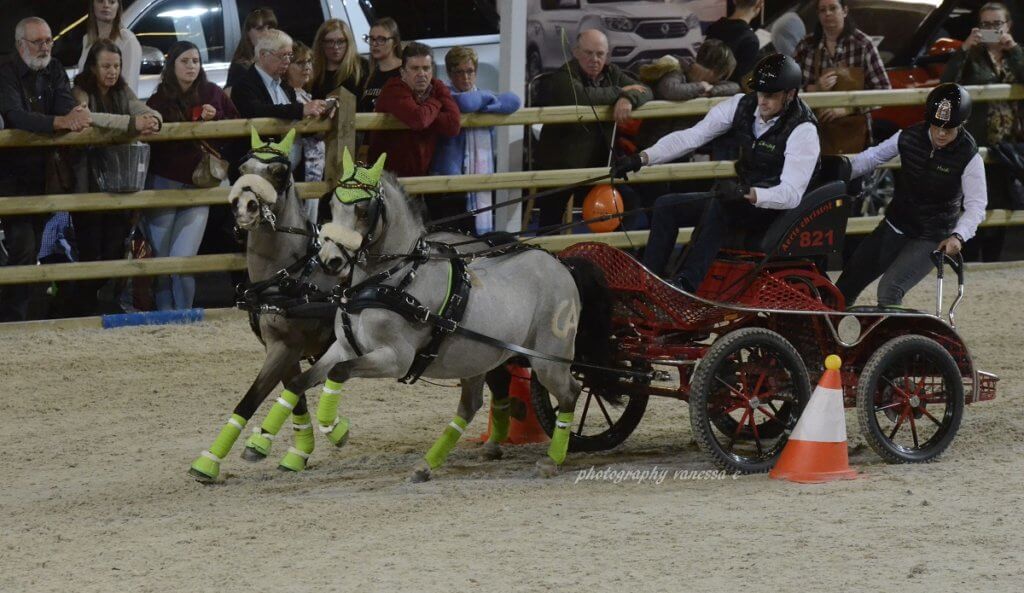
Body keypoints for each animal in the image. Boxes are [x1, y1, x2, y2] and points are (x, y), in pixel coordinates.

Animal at [276, 148, 611, 481]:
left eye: (363, 210)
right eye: (333, 205)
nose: (330, 260)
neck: (393, 283)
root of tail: (562, 265)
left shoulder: (395, 359)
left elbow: (338, 373)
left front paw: (337, 430)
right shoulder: (344, 347)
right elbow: (299, 382)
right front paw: (270, 445)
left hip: (548, 359)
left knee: (570, 392)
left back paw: (552, 459)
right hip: (479, 358)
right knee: (471, 405)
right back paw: (428, 463)